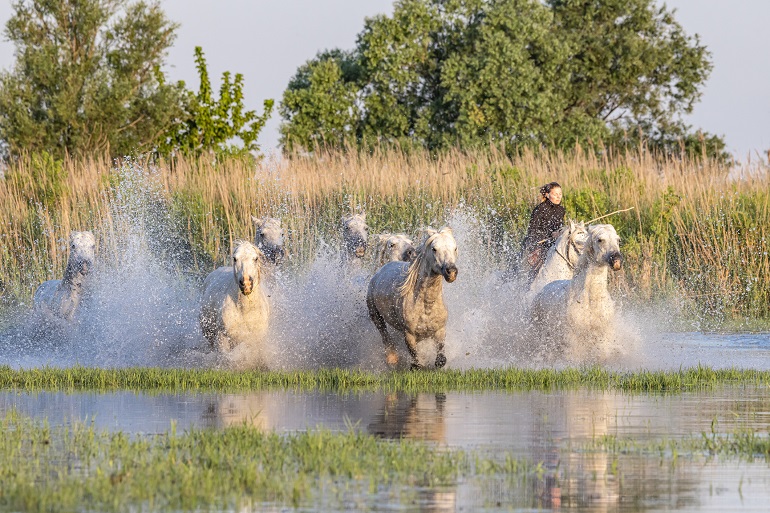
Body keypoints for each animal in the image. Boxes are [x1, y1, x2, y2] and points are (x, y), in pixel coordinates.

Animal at [199, 240, 270, 369]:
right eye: (235, 258)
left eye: (256, 258)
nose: (246, 284)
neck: (245, 311)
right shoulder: (222, 337)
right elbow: (227, 358)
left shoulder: (256, 340)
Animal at [366, 227, 458, 369]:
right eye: (434, 249)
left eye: (455, 248)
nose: (451, 272)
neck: (426, 305)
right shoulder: (409, 334)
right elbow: (415, 361)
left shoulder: (440, 330)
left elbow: (440, 359)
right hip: (375, 314)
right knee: (384, 333)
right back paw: (392, 358)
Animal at [529, 224, 622, 362]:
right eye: (600, 240)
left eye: (618, 240)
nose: (616, 260)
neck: (591, 299)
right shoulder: (572, 338)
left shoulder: (603, 336)